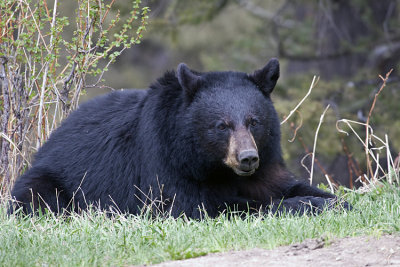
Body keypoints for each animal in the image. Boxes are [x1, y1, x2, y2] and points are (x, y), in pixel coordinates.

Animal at [10, 58, 344, 218]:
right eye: (222, 126)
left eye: (254, 122)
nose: (247, 158)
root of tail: (47, 143)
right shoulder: (164, 163)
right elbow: (202, 206)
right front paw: (306, 204)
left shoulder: (267, 164)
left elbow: (282, 184)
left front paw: (331, 200)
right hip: (49, 181)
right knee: (40, 198)